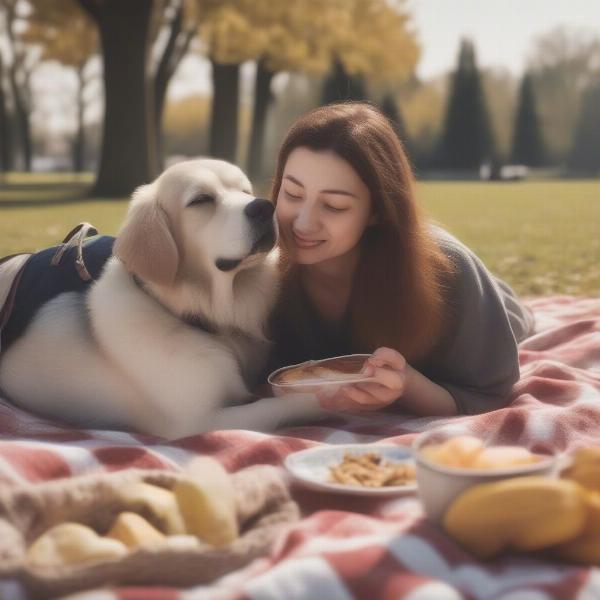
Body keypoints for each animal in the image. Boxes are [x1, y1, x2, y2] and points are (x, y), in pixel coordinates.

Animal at [0, 159, 324, 438]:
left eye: (245, 191)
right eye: (201, 200)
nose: (265, 207)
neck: (203, 320)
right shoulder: (199, 420)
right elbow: (284, 404)